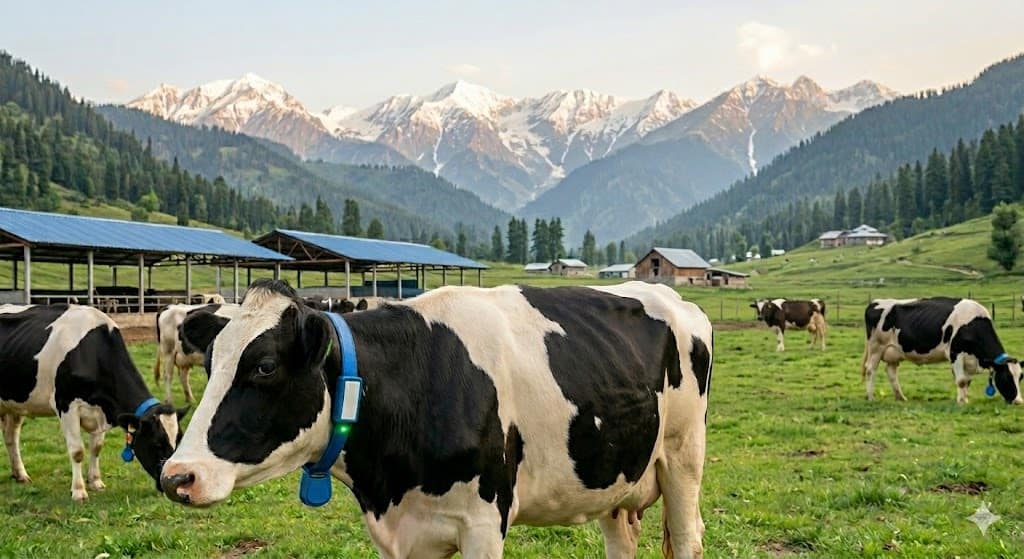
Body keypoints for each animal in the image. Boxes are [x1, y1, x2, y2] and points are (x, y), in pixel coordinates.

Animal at [0, 304, 187, 501]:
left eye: (179, 440)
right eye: (157, 443)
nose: (173, 483)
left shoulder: (101, 411)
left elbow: (96, 447)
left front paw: (95, 482)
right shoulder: (66, 405)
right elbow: (77, 451)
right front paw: (79, 491)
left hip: (14, 404)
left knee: (11, 436)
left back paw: (20, 474)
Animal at [160, 279, 713, 558]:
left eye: (265, 367)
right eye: (211, 363)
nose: (176, 476)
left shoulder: (484, 524)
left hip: (683, 457)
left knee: (688, 535)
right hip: (616, 476)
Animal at [862, 297, 1023, 405]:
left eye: (1020, 377)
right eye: (1007, 377)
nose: (1019, 401)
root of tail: (875, 302)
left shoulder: (970, 359)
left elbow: (967, 381)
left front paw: (965, 398)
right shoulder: (955, 353)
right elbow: (961, 381)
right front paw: (962, 402)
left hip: (894, 352)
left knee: (891, 373)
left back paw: (901, 397)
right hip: (876, 347)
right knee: (870, 370)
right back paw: (870, 397)